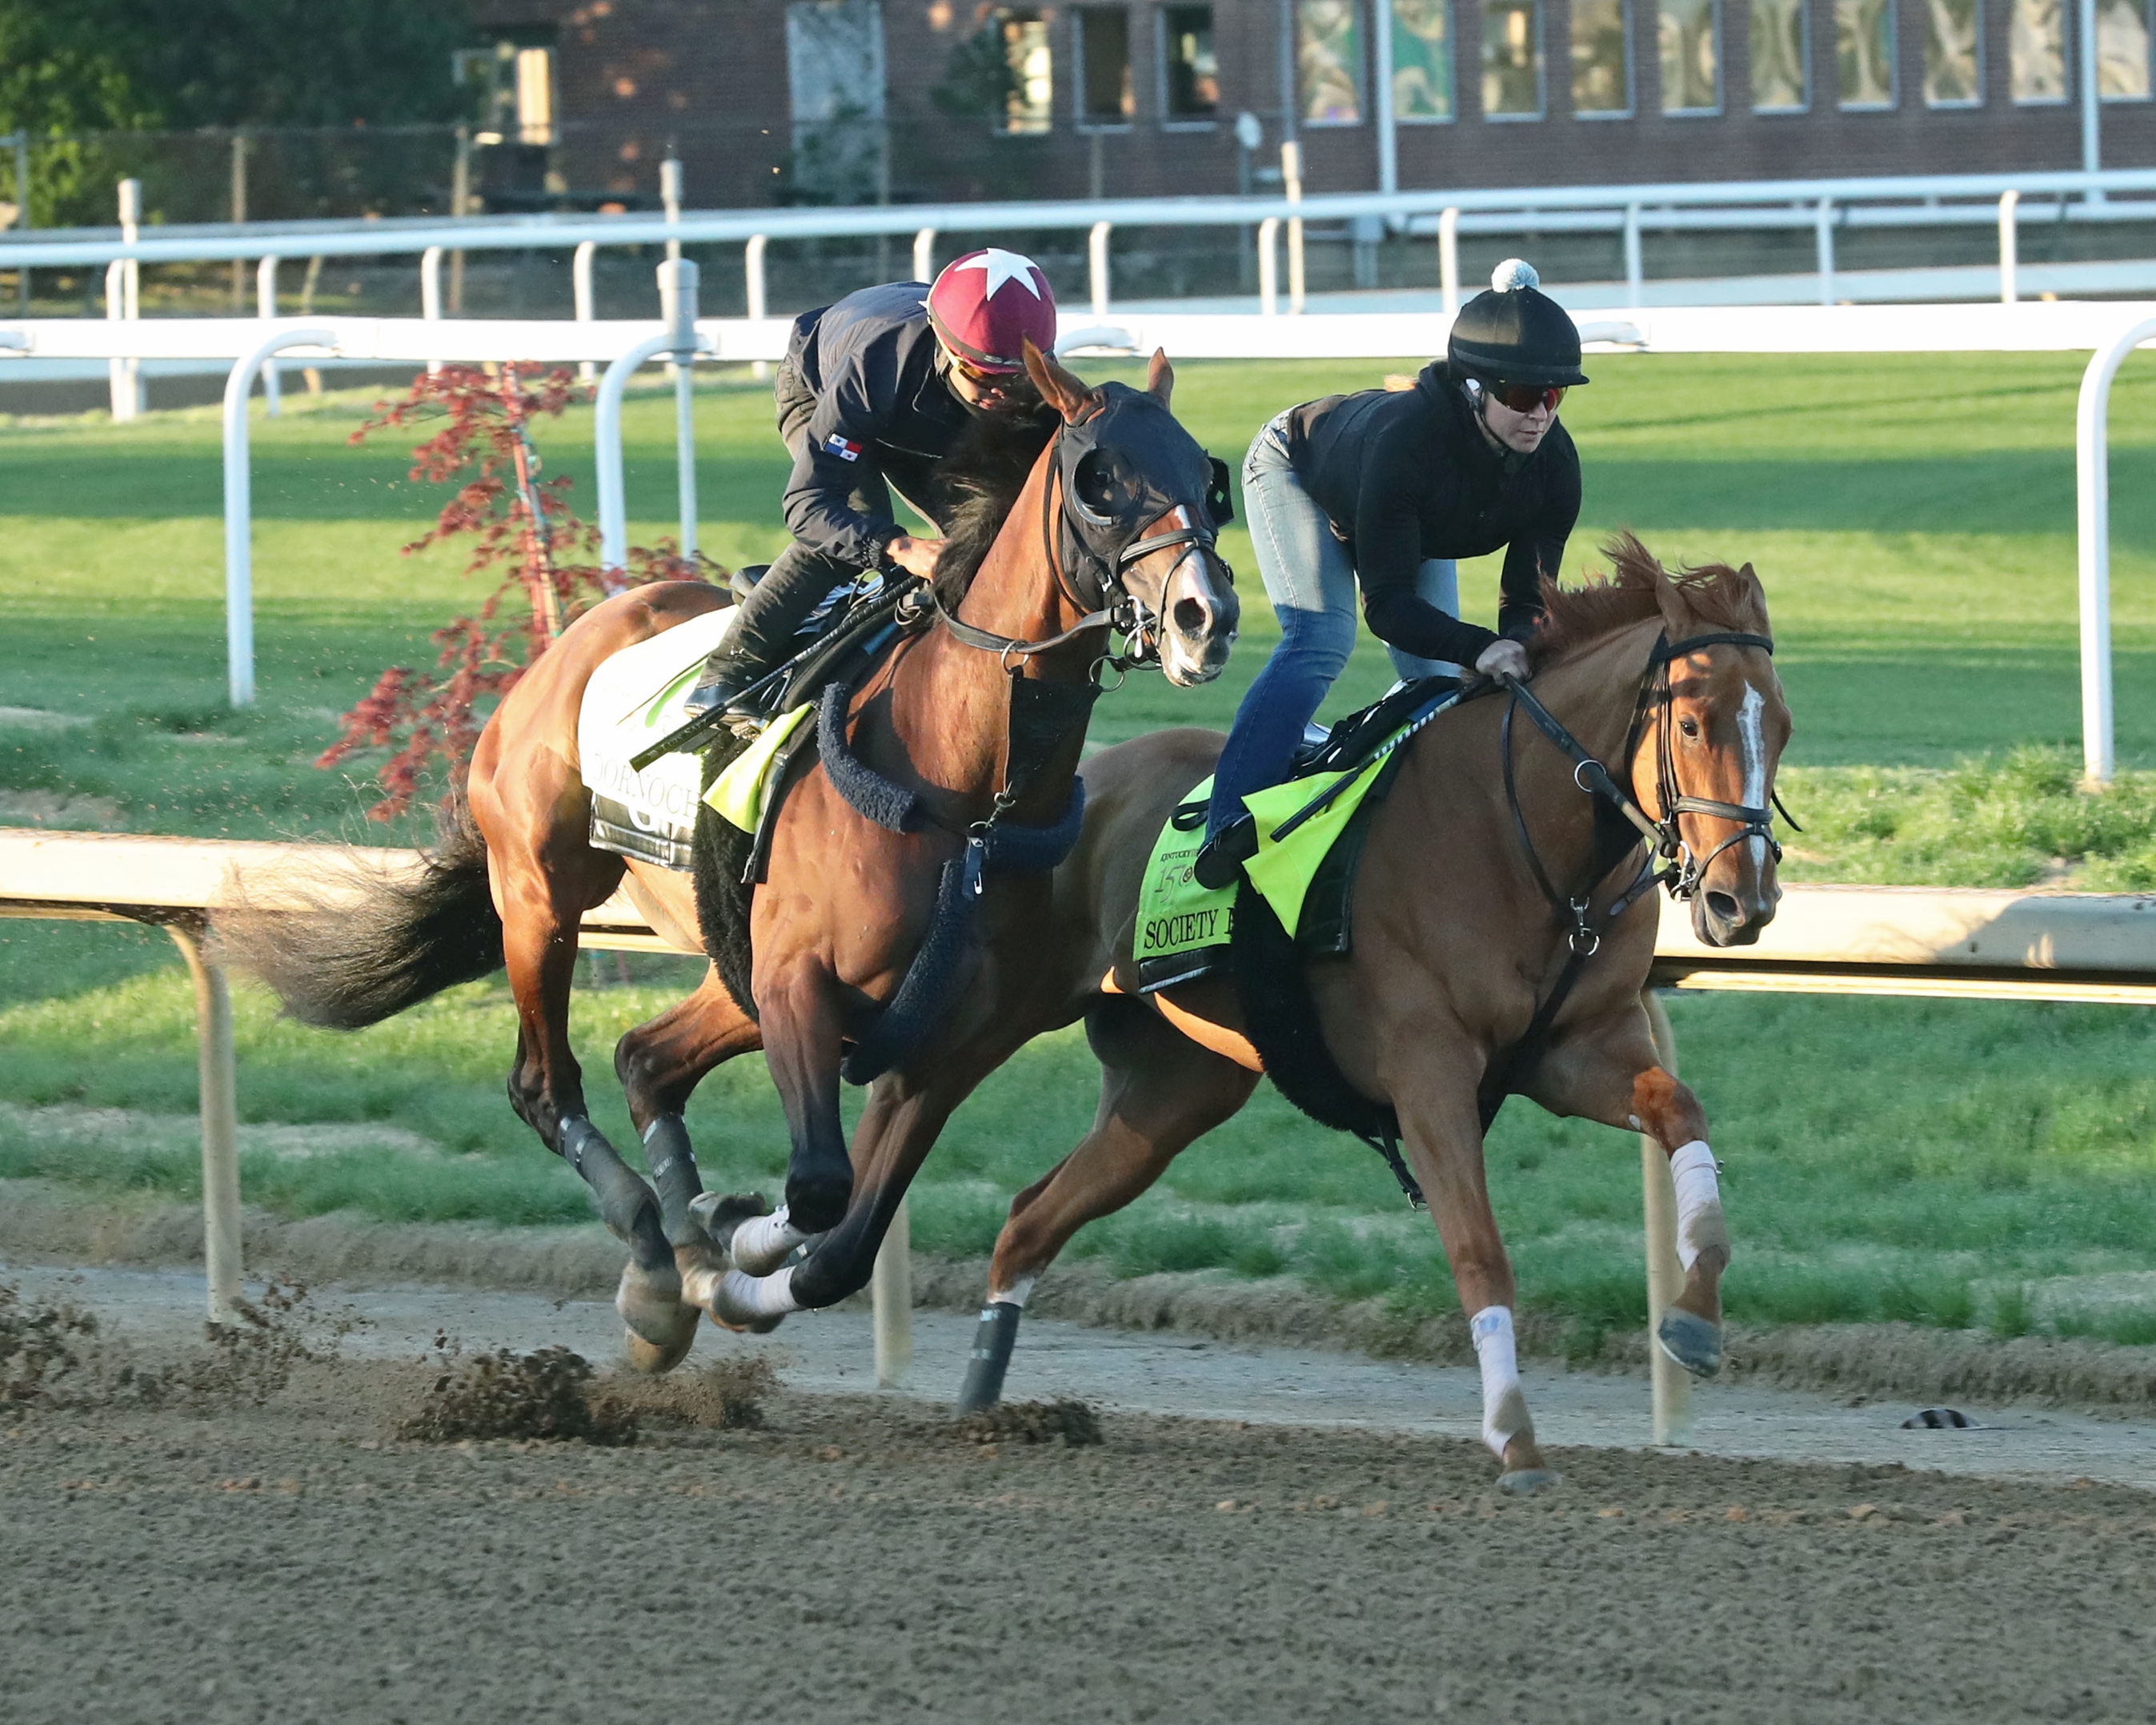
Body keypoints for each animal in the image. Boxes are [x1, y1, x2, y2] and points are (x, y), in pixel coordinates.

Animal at [221, 347, 1241, 1371]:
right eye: (1099, 482)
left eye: (1207, 477)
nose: (1208, 614)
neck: (966, 792)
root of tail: (571, 641)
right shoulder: (800, 980)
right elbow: (822, 1186)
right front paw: (729, 1244)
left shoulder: (952, 1039)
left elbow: (846, 1241)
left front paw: (725, 1247)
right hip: (542, 895)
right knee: (546, 1084)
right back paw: (651, 1254)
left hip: (726, 958)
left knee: (645, 1059)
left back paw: (673, 1249)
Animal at [875, 532, 1785, 1492]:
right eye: (1693, 724)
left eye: (1783, 727)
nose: (1745, 900)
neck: (1522, 836)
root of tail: (1073, 786)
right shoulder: (1427, 1071)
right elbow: (1479, 1250)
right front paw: (1515, 1437)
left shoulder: (1579, 1051)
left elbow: (1681, 1110)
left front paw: (1694, 1317)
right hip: (995, 1009)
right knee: (901, 1097)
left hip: (1174, 1091)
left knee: (1029, 1216)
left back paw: (986, 1395)